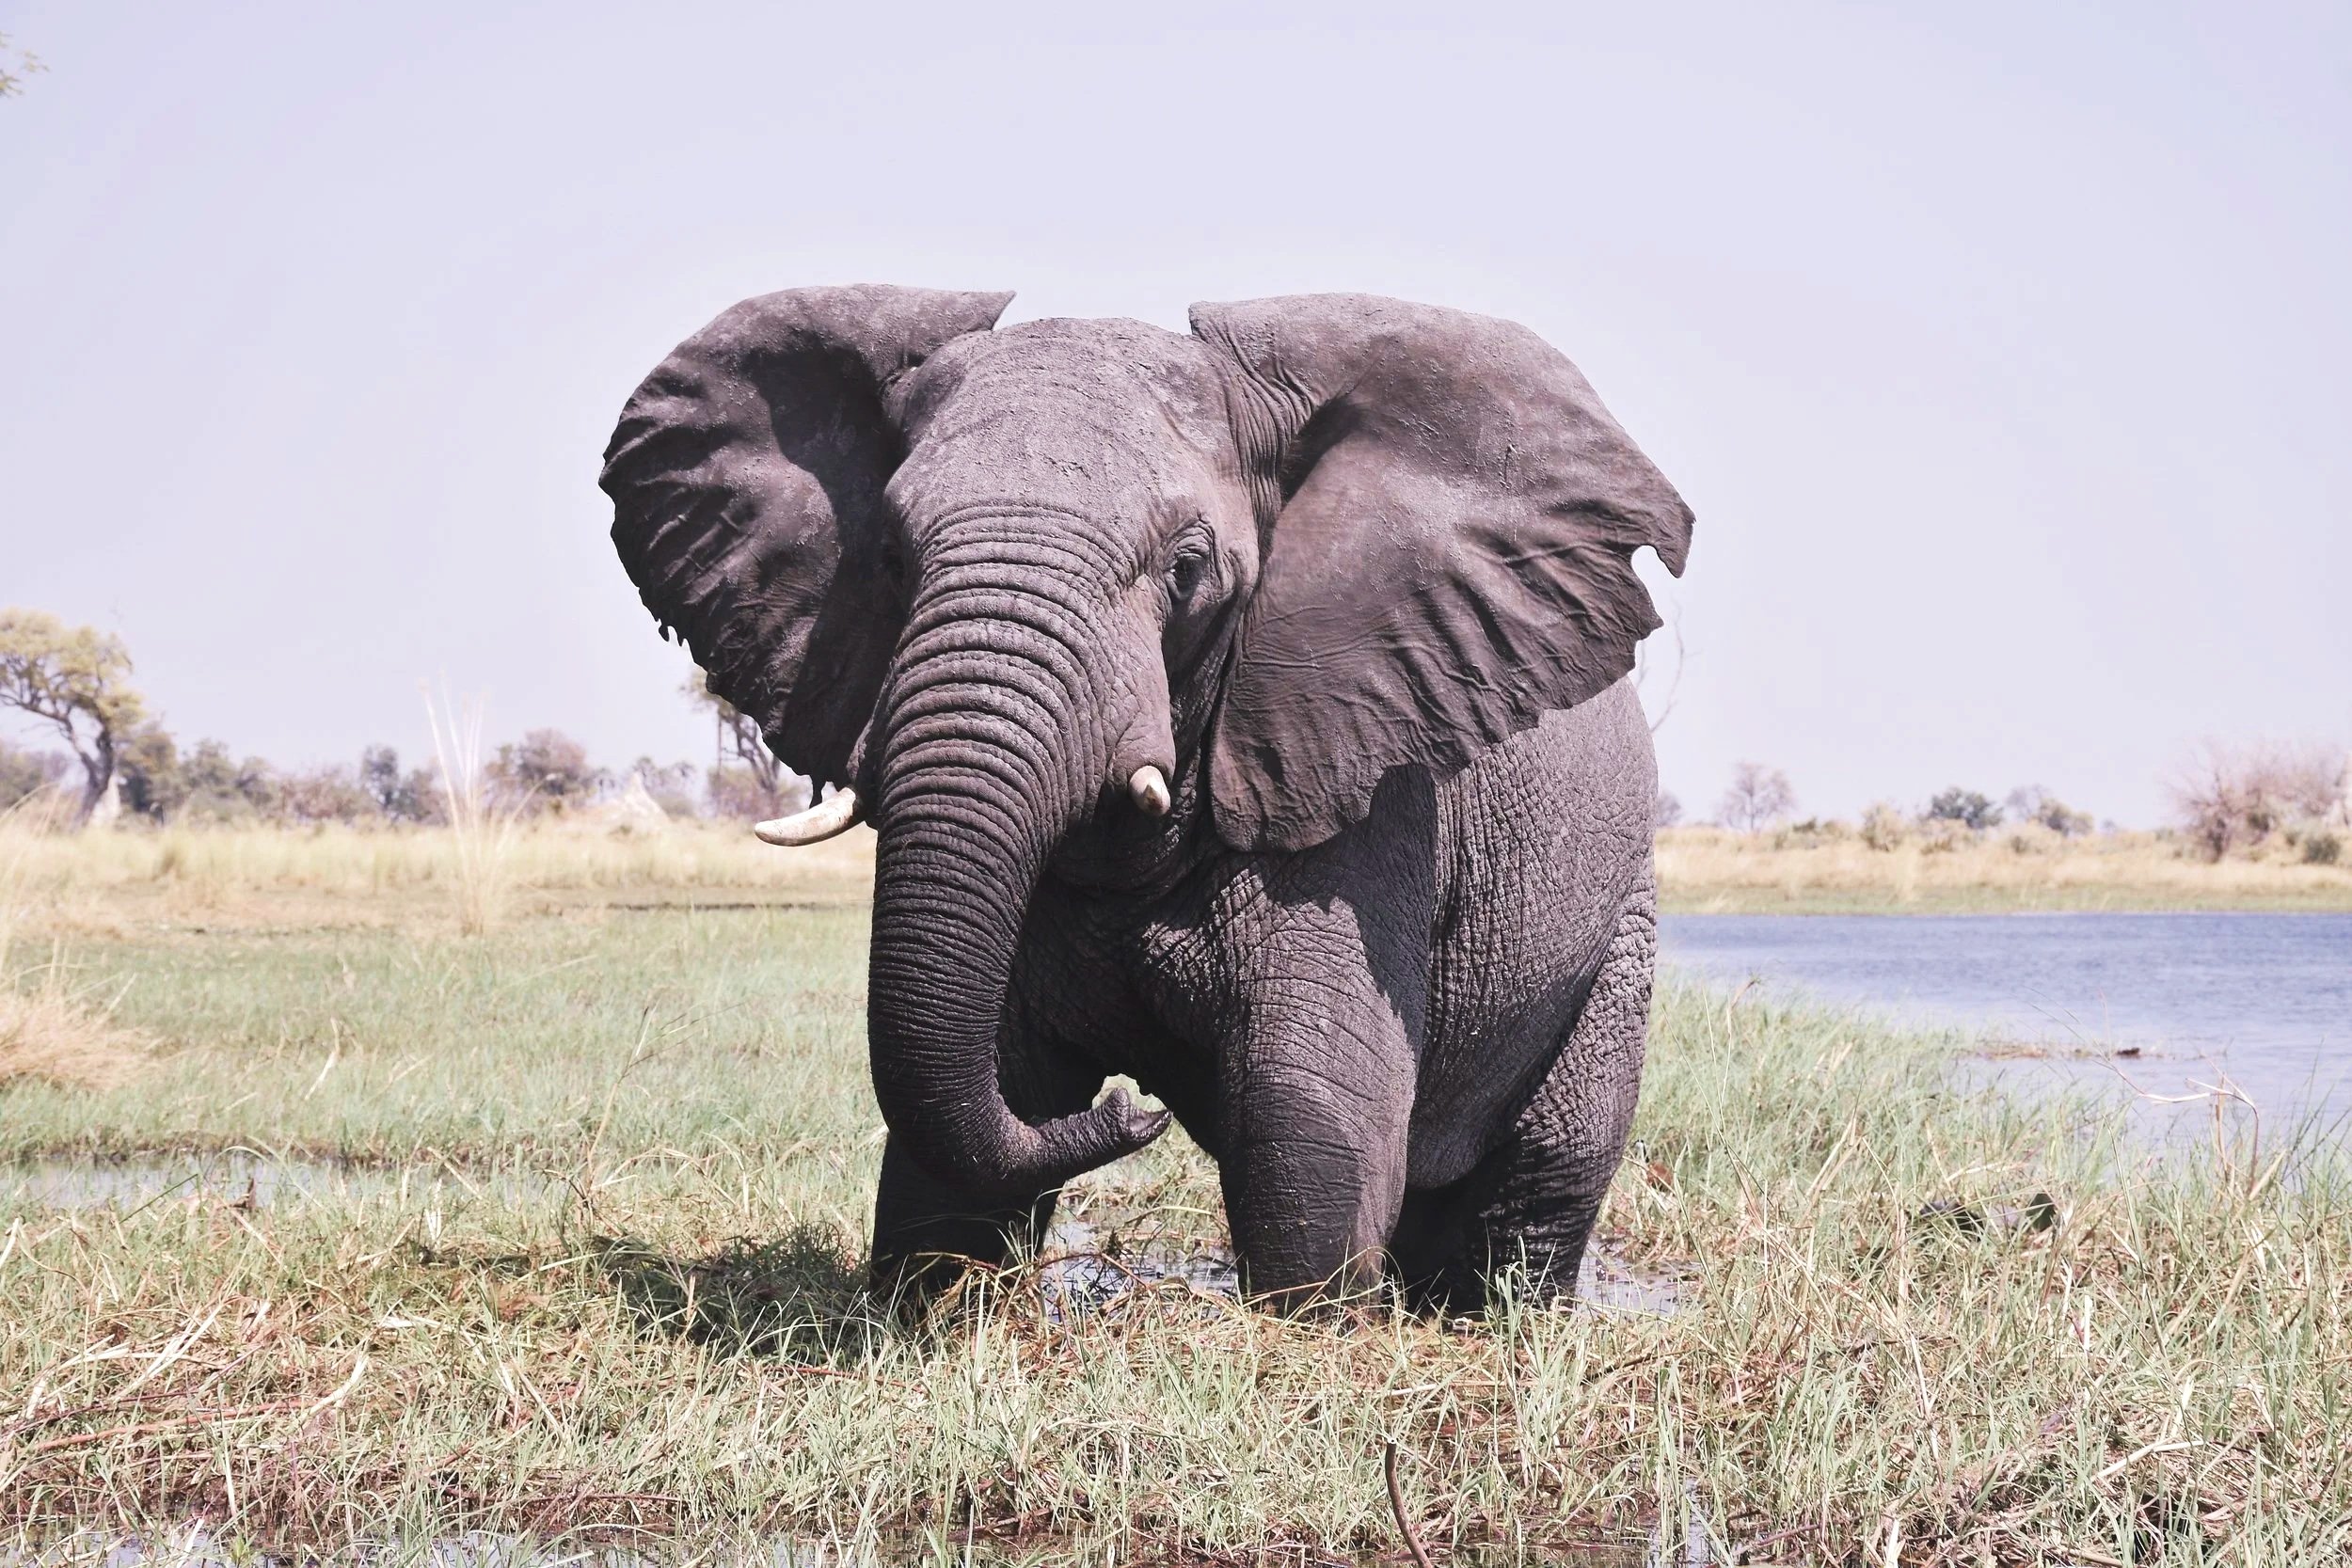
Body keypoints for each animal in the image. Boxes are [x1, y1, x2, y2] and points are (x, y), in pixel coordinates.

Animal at [600, 286, 1694, 1309]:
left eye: (1187, 567)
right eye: (890, 558)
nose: (1135, 1108)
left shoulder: (1370, 802)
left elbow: (1311, 1138)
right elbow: (955, 1162)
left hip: (1616, 929)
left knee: (1536, 1187)